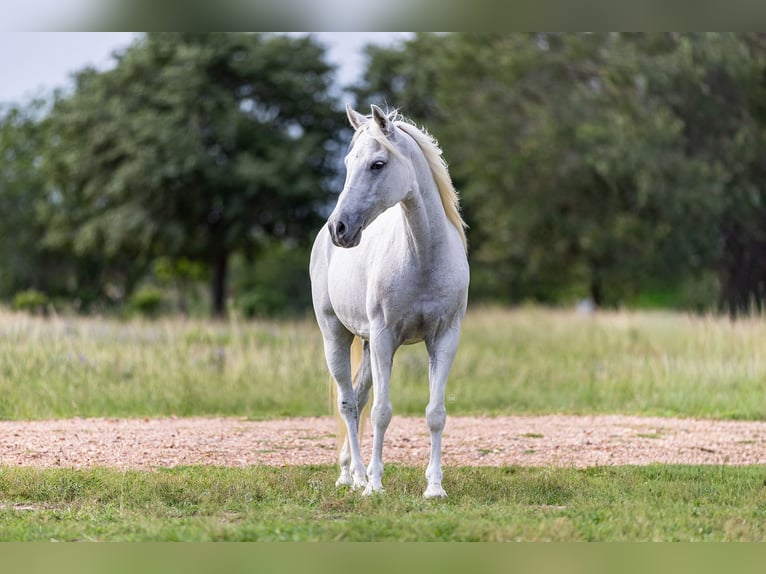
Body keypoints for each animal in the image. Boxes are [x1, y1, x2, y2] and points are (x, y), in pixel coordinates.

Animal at [309, 104, 469, 498]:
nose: (339, 229)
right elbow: (381, 412)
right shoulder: (385, 339)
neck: (423, 256)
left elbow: (435, 413)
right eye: (348, 162)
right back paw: (358, 476)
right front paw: (376, 485)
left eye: (377, 164)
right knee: (348, 403)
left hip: (366, 346)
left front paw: (434, 487)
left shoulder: (444, 339)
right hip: (336, 336)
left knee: (359, 397)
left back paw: (348, 473)